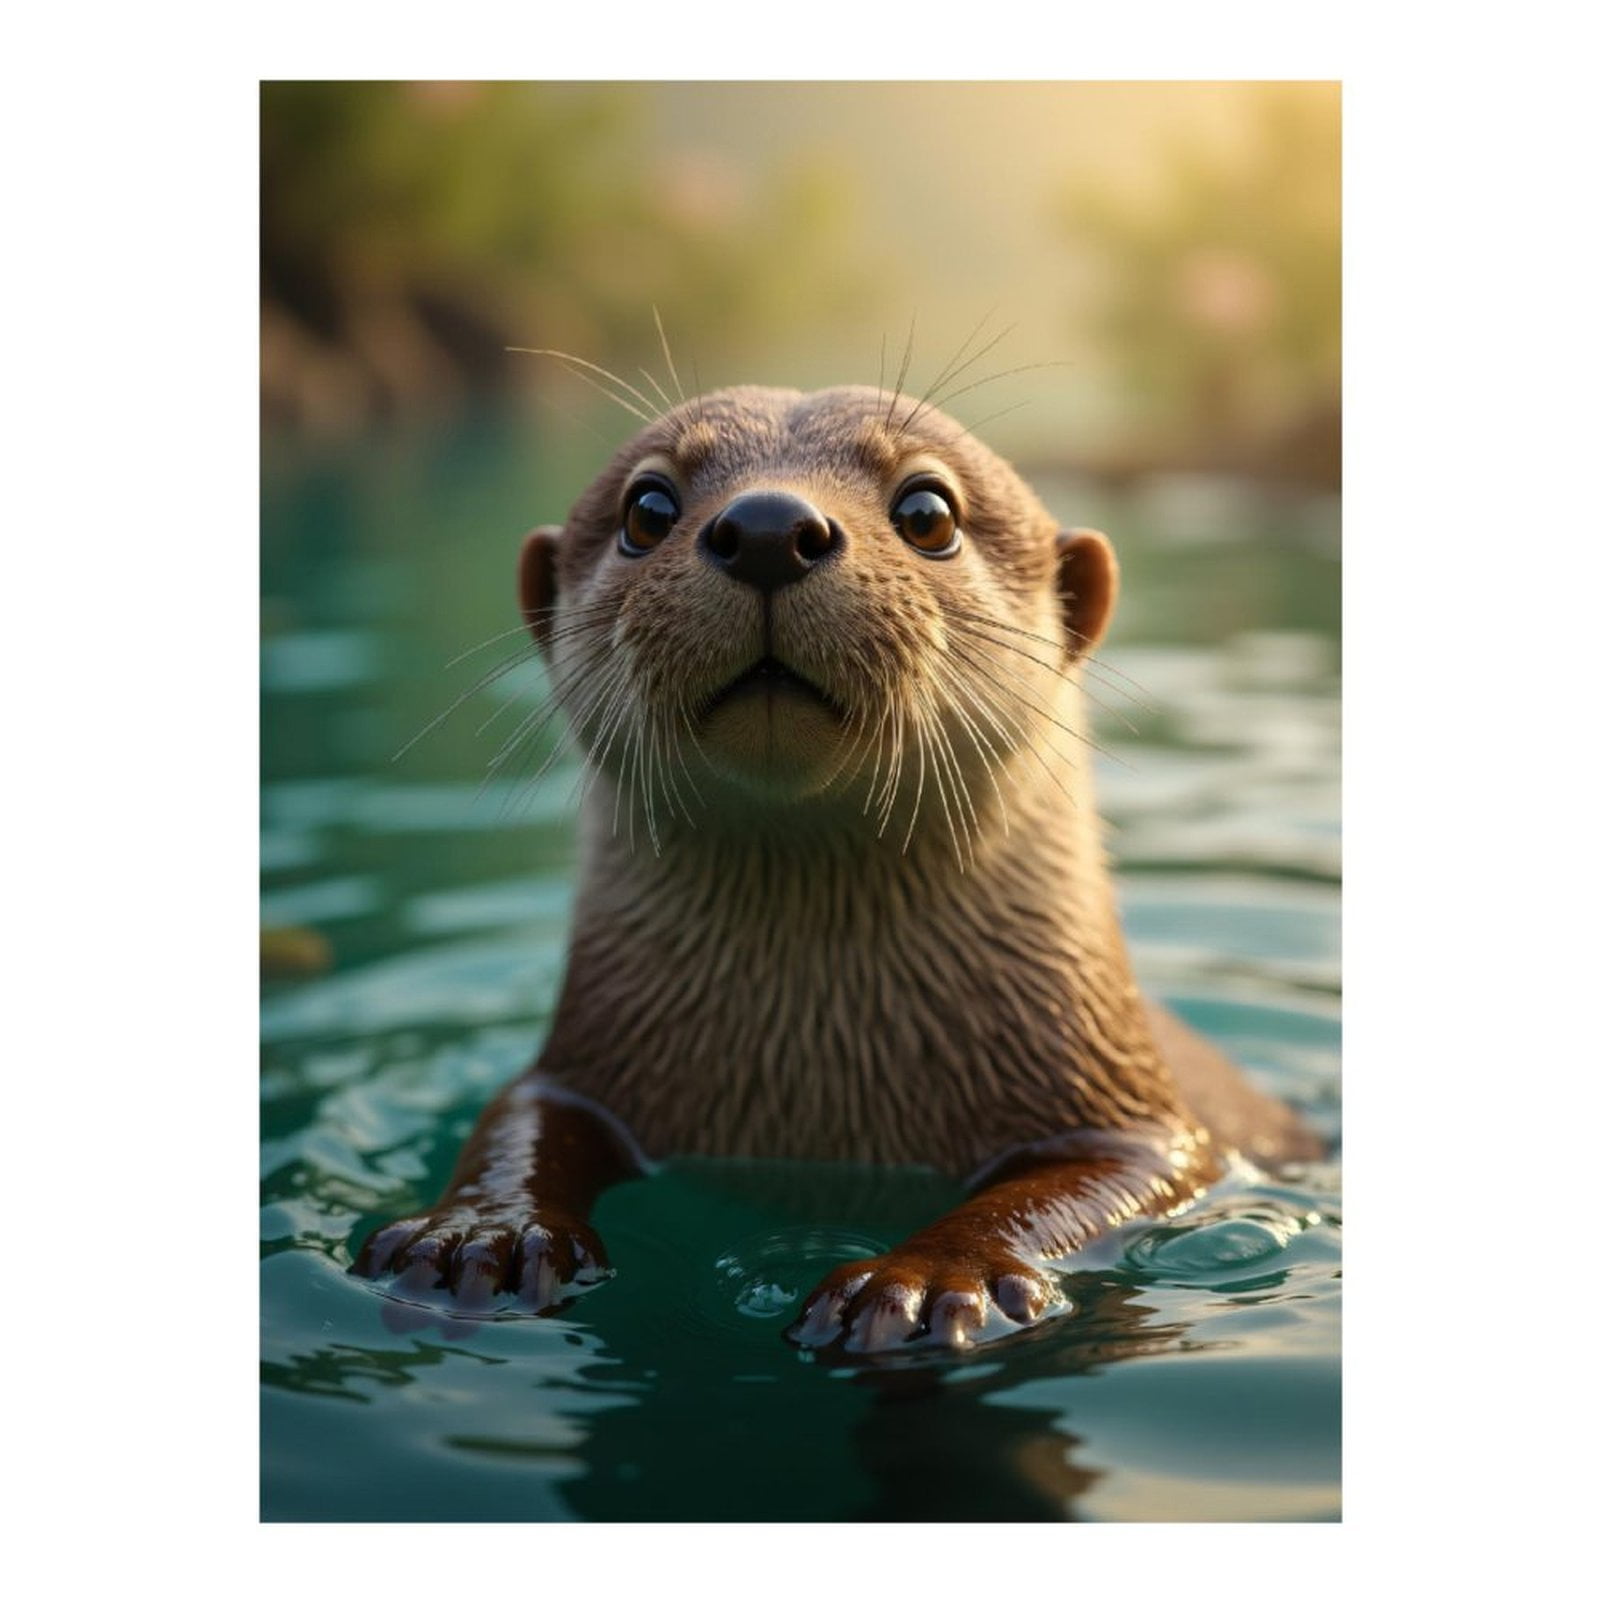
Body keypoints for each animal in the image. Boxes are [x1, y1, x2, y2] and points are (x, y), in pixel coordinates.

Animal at [354, 383, 1319, 1353]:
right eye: (647, 508)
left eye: (928, 512)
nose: (768, 525)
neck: (820, 1086)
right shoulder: (578, 1069)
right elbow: (516, 1119)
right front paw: (481, 1233)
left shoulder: (1129, 1110)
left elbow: (1098, 1176)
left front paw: (930, 1282)